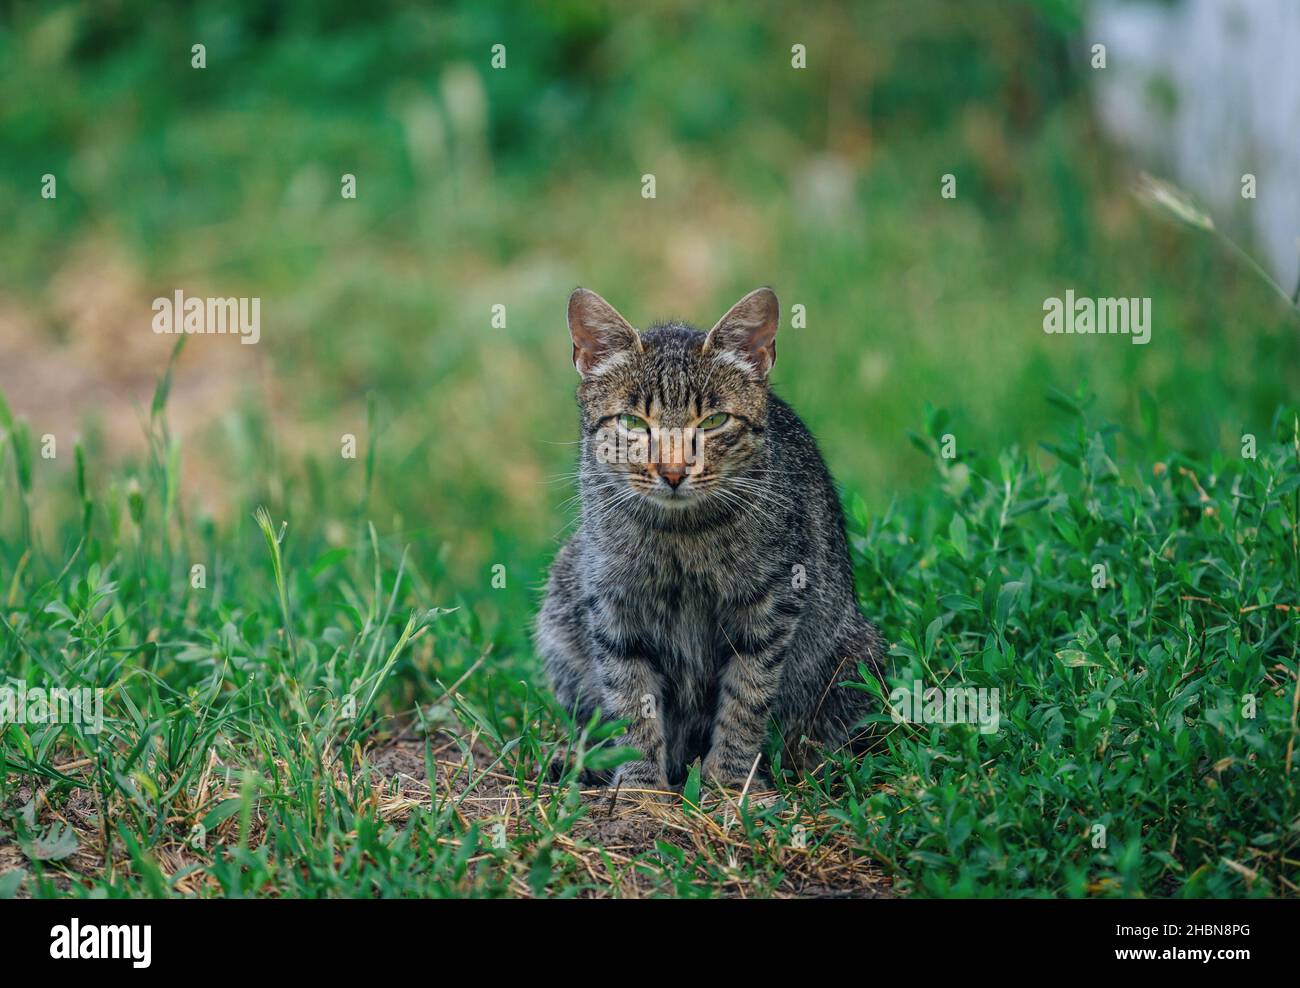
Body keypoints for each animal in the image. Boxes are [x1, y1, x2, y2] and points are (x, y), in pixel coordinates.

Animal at [535, 287, 883, 795]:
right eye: (633, 423)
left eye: (714, 421)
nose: (674, 471)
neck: (681, 537)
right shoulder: (615, 605)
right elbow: (631, 699)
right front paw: (640, 787)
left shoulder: (771, 606)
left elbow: (745, 699)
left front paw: (729, 782)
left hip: (856, 658)